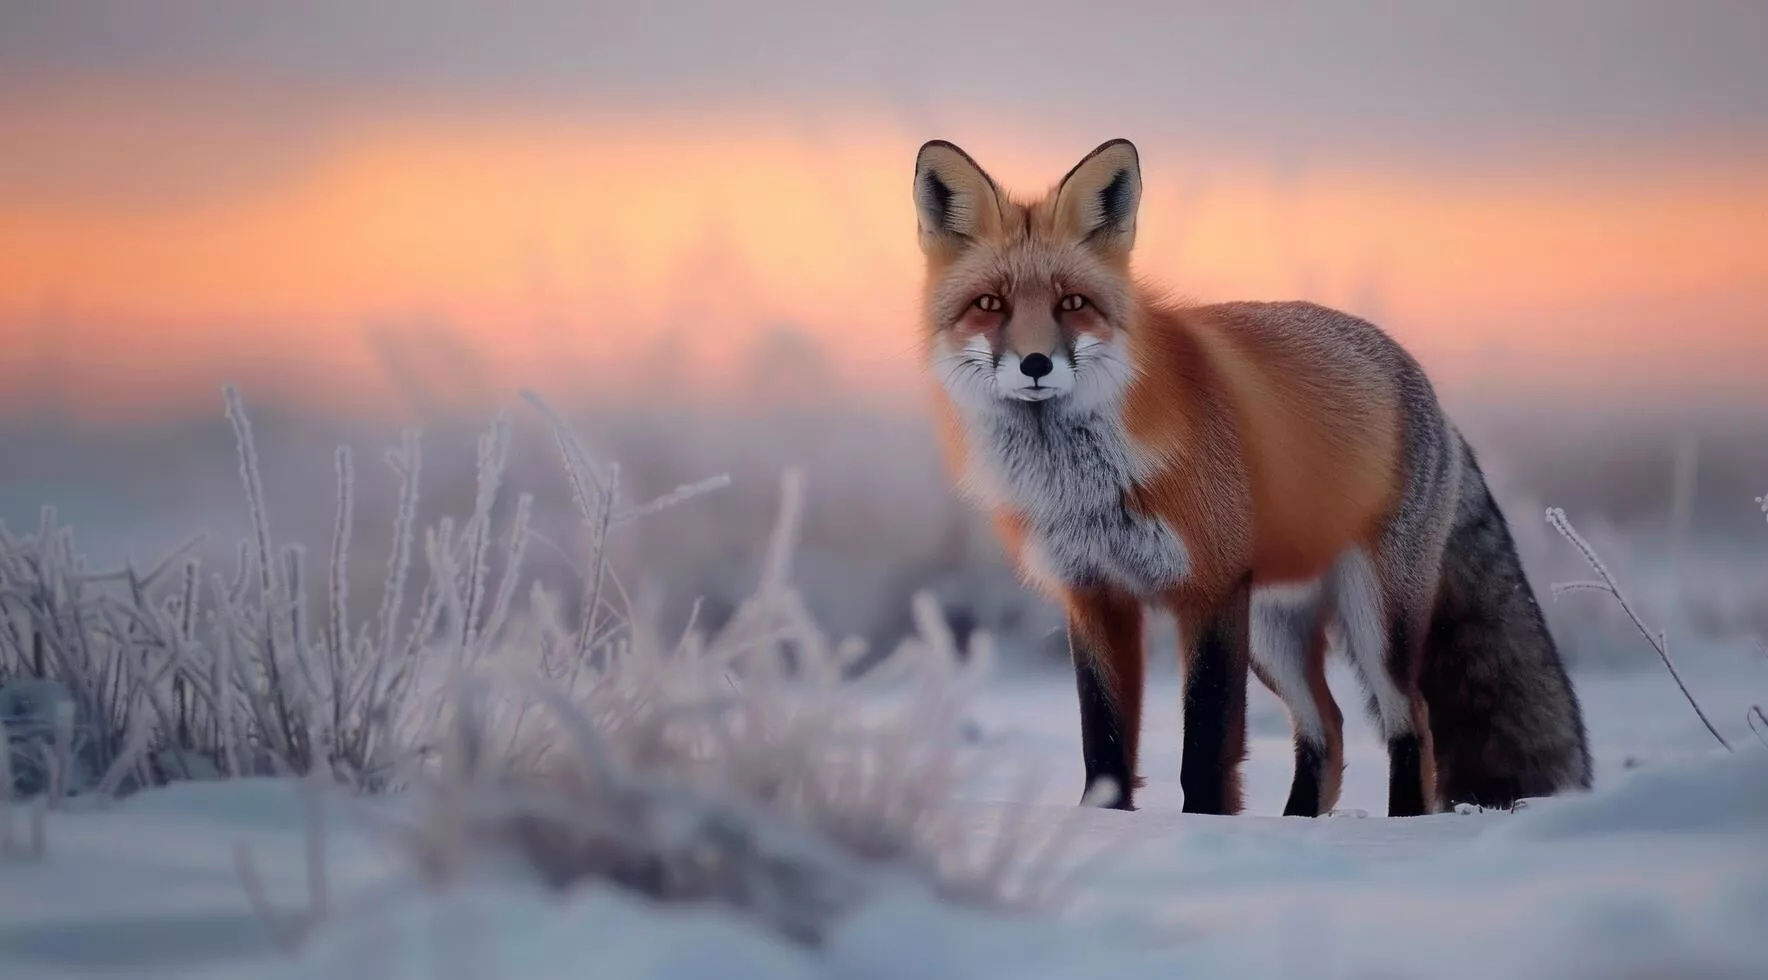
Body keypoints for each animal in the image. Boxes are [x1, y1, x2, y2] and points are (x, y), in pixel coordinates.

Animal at [911, 137, 1592, 817]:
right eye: (990, 305)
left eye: (1072, 303)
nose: (1035, 364)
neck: (1086, 482)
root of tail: (1428, 389)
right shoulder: (1094, 594)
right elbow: (1103, 745)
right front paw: (1103, 823)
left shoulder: (1211, 589)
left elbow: (1207, 743)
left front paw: (1205, 827)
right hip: (1272, 631)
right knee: (1327, 726)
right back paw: (1297, 825)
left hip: (1374, 618)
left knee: (1412, 719)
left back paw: (1398, 823)